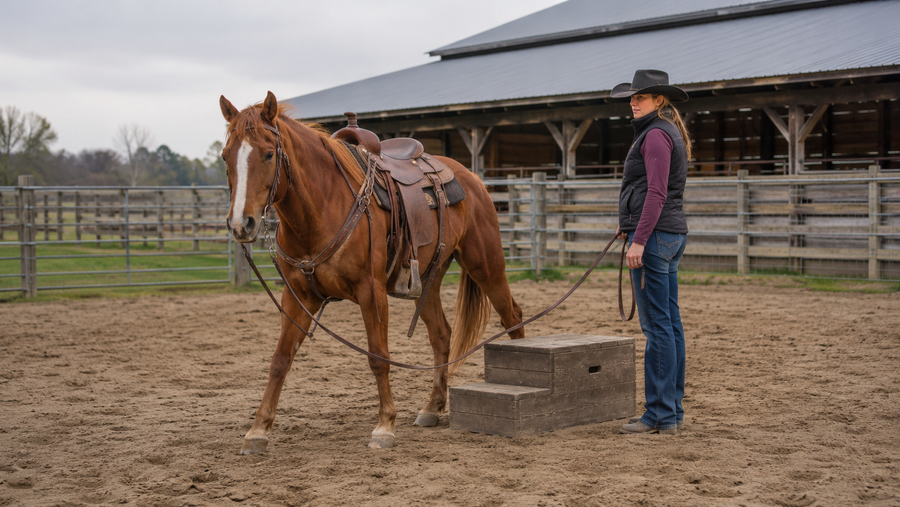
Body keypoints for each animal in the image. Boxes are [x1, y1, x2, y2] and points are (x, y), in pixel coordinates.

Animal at [219, 91, 525, 452]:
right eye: (225, 157)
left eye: (268, 154)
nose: (242, 223)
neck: (321, 207)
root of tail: (472, 178)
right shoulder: (297, 296)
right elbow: (280, 359)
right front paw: (258, 431)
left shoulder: (372, 292)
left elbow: (378, 357)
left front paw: (384, 426)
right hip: (429, 280)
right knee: (441, 335)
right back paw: (432, 407)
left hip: (486, 264)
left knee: (513, 316)